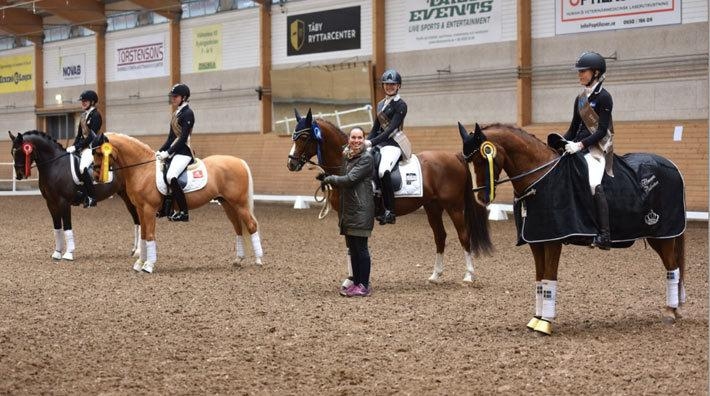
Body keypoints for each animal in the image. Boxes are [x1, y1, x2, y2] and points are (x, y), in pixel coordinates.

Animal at [8, 129, 140, 260]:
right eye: (12, 152)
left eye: (20, 151)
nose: (19, 175)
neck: (55, 165)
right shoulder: (51, 203)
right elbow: (57, 227)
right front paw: (57, 253)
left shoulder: (63, 202)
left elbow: (67, 226)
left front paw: (69, 253)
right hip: (124, 194)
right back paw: (134, 250)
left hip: (129, 197)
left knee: (137, 219)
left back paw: (138, 251)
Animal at [93, 131, 262, 274]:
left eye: (99, 152)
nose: (95, 176)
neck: (143, 169)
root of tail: (239, 161)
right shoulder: (140, 209)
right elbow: (143, 235)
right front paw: (139, 263)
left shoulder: (149, 209)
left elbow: (150, 235)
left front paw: (148, 265)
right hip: (228, 204)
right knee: (238, 228)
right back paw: (238, 260)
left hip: (239, 204)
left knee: (252, 225)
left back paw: (259, 260)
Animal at [286, 108, 492, 284]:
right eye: (293, 137)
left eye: (304, 137)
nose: (291, 164)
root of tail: (455, 157)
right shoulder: (343, 214)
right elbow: (349, 247)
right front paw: (350, 279)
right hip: (433, 207)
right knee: (440, 236)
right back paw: (435, 275)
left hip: (454, 206)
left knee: (464, 235)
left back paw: (468, 276)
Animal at [458, 122, 688, 336]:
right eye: (467, 162)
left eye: (482, 158)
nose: (481, 198)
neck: (541, 176)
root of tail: (671, 166)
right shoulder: (536, 241)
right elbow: (540, 280)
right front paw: (536, 319)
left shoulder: (553, 240)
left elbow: (549, 278)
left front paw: (545, 323)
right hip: (657, 236)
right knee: (674, 266)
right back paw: (675, 310)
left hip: (664, 234)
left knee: (672, 269)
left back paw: (670, 312)